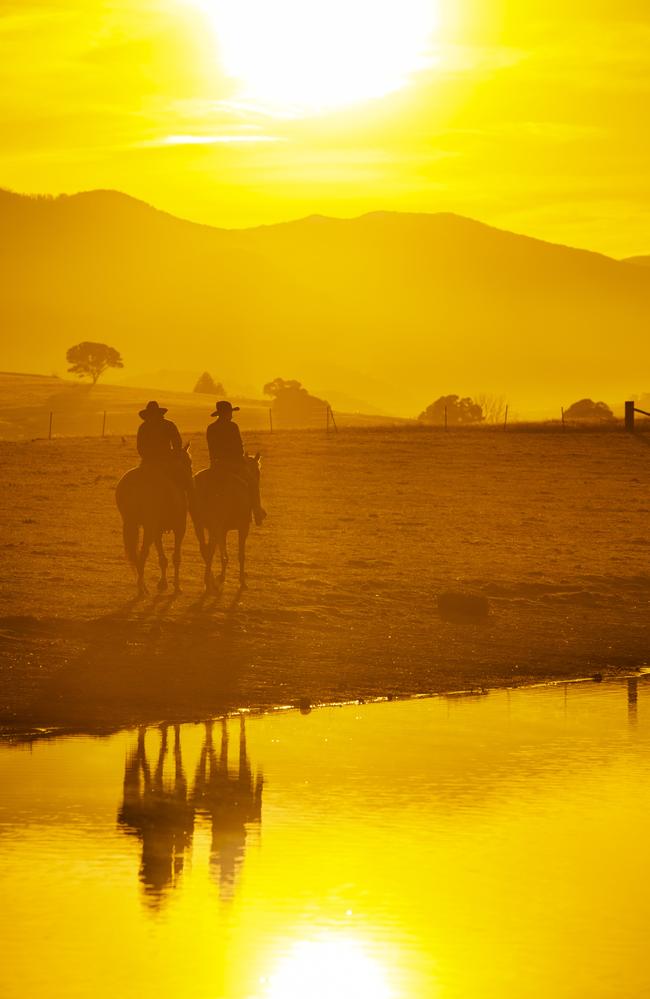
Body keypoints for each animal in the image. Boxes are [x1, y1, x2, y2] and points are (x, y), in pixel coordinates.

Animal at [114, 444, 192, 592]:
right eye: (188, 462)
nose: (191, 484)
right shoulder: (179, 528)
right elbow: (176, 557)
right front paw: (176, 586)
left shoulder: (158, 531)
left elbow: (163, 558)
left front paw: (163, 583)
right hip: (149, 527)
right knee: (143, 553)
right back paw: (142, 588)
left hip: (134, 524)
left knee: (137, 555)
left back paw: (142, 586)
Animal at [192, 456, 260, 588]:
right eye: (258, 472)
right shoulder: (243, 527)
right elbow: (240, 554)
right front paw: (242, 580)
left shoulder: (222, 530)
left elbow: (223, 550)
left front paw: (223, 575)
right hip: (214, 524)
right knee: (210, 549)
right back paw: (208, 581)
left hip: (198, 523)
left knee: (205, 548)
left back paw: (209, 579)